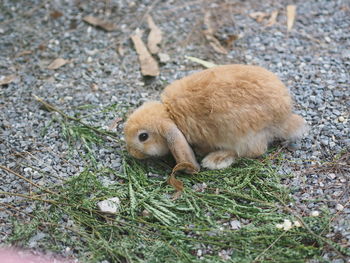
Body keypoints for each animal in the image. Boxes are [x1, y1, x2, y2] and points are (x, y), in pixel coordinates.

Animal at [123, 64, 306, 172]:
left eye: (143, 137)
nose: (132, 153)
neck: (170, 114)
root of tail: (284, 119)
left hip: (242, 135)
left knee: (252, 151)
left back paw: (216, 159)